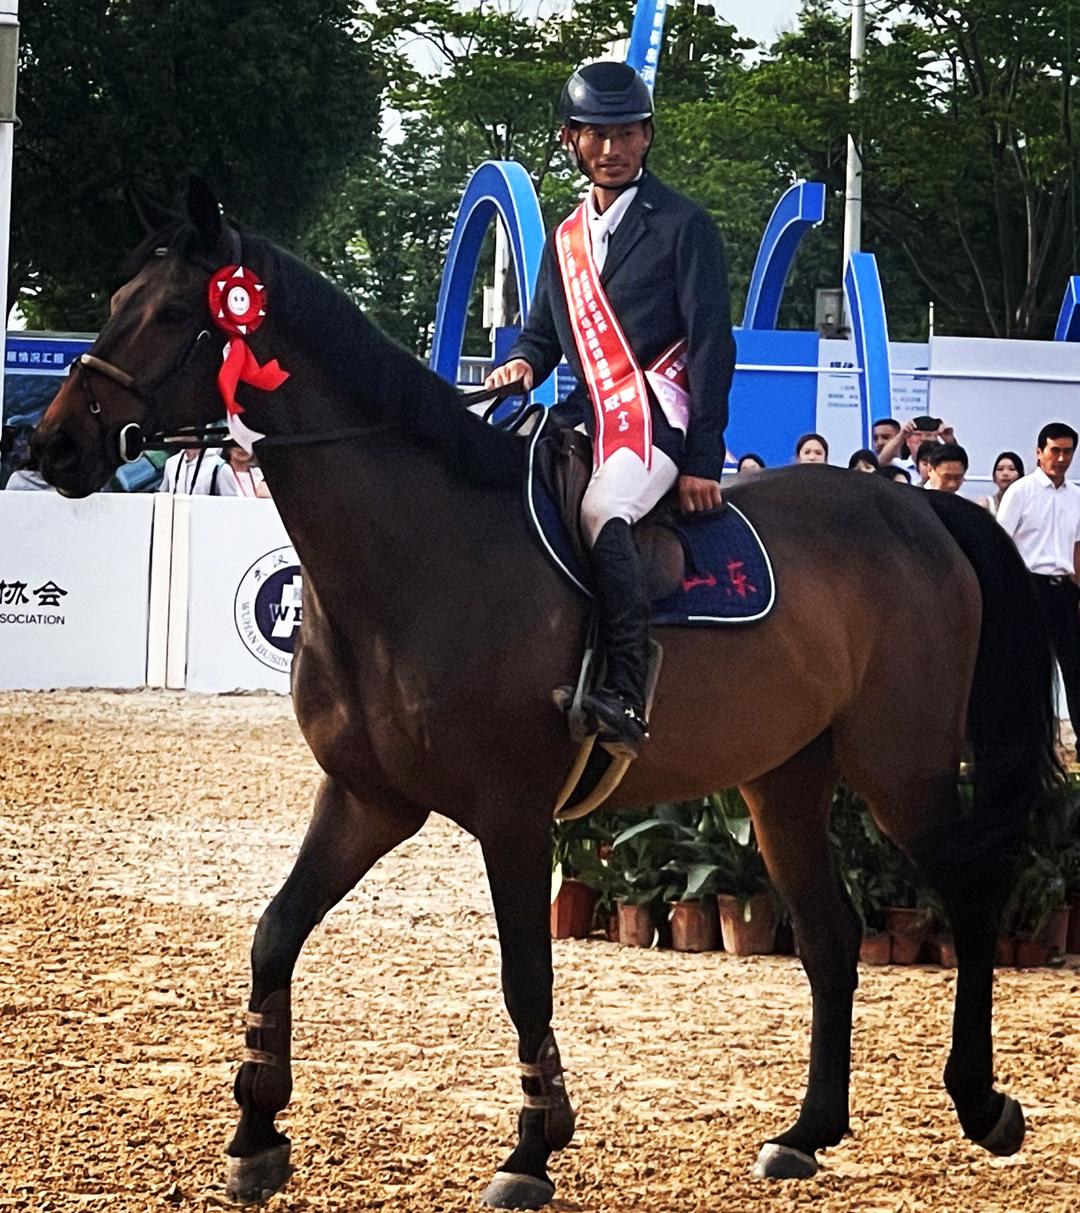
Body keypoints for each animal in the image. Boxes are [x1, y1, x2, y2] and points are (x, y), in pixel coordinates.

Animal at [32, 179, 1061, 1208]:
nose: (52, 443)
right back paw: (807, 1132)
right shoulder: (366, 798)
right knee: (832, 937)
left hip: (900, 767)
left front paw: (531, 1146)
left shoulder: (513, 812)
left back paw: (983, 1103)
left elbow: (526, 974)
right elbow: (275, 933)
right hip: (785, 781)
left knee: (969, 893)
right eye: (118, 298)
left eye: (173, 313)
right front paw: (254, 1133)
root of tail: (919, 506)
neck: (420, 548)